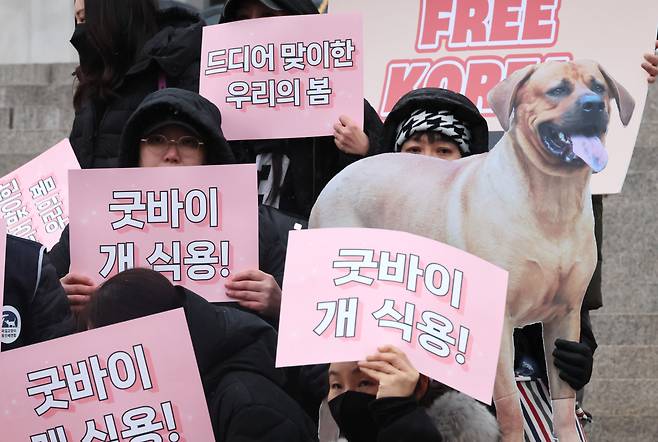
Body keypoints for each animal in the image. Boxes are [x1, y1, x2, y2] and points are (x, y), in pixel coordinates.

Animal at [310, 59, 632, 442]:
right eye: (557, 90)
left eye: (599, 88)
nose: (592, 106)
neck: (552, 200)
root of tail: (338, 176)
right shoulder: (499, 323)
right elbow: (509, 407)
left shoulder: (565, 314)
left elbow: (564, 401)